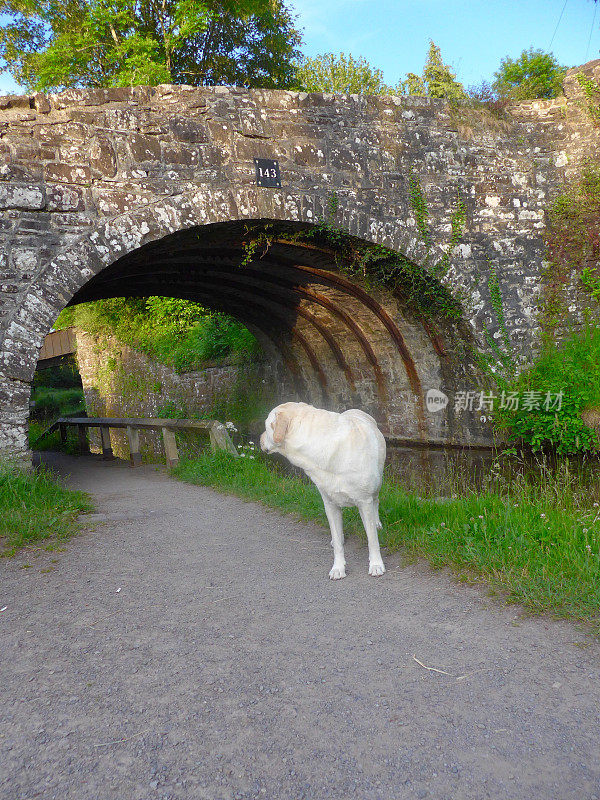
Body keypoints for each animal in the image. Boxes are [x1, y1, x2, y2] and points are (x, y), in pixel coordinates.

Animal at [260, 404, 386, 580]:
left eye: (266, 428)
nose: (259, 439)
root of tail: (356, 410)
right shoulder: (330, 504)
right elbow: (338, 543)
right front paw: (338, 568)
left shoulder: (364, 501)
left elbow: (372, 540)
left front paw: (376, 565)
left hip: (377, 483)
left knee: (376, 501)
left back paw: (376, 523)